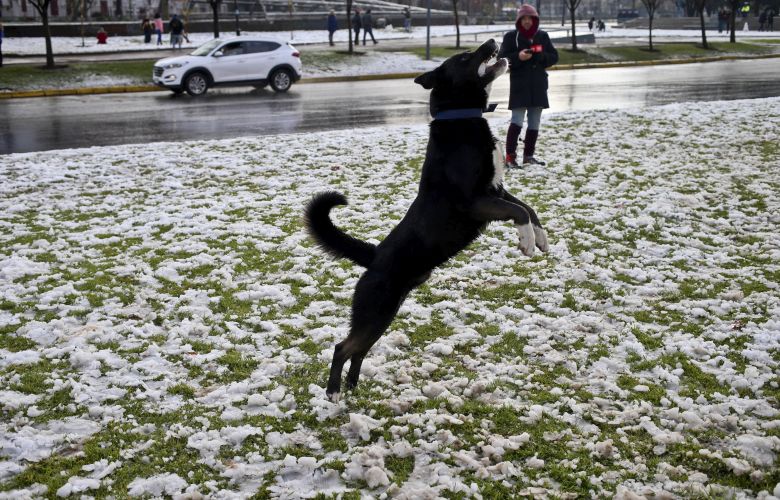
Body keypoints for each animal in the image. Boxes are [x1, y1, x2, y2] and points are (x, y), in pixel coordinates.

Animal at [304, 38, 548, 402]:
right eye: (464, 57)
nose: (492, 41)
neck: (460, 118)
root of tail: (374, 256)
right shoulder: (475, 202)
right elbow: (519, 212)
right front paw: (526, 241)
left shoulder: (497, 191)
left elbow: (529, 209)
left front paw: (540, 237)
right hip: (375, 310)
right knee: (342, 347)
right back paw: (334, 393)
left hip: (384, 314)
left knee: (358, 350)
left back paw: (353, 388)